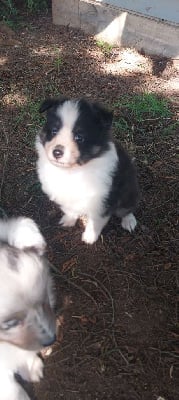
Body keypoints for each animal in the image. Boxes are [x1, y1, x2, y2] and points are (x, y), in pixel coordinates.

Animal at [36, 98, 139, 245]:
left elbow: (96, 221)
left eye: (79, 137)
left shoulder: (103, 201)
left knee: (127, 208)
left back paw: (129, 221)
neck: (73, 171)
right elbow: (69, 208)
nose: (57, 152)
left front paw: (90, 237)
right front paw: (68, 220)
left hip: (128, 190)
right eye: (54, 131)